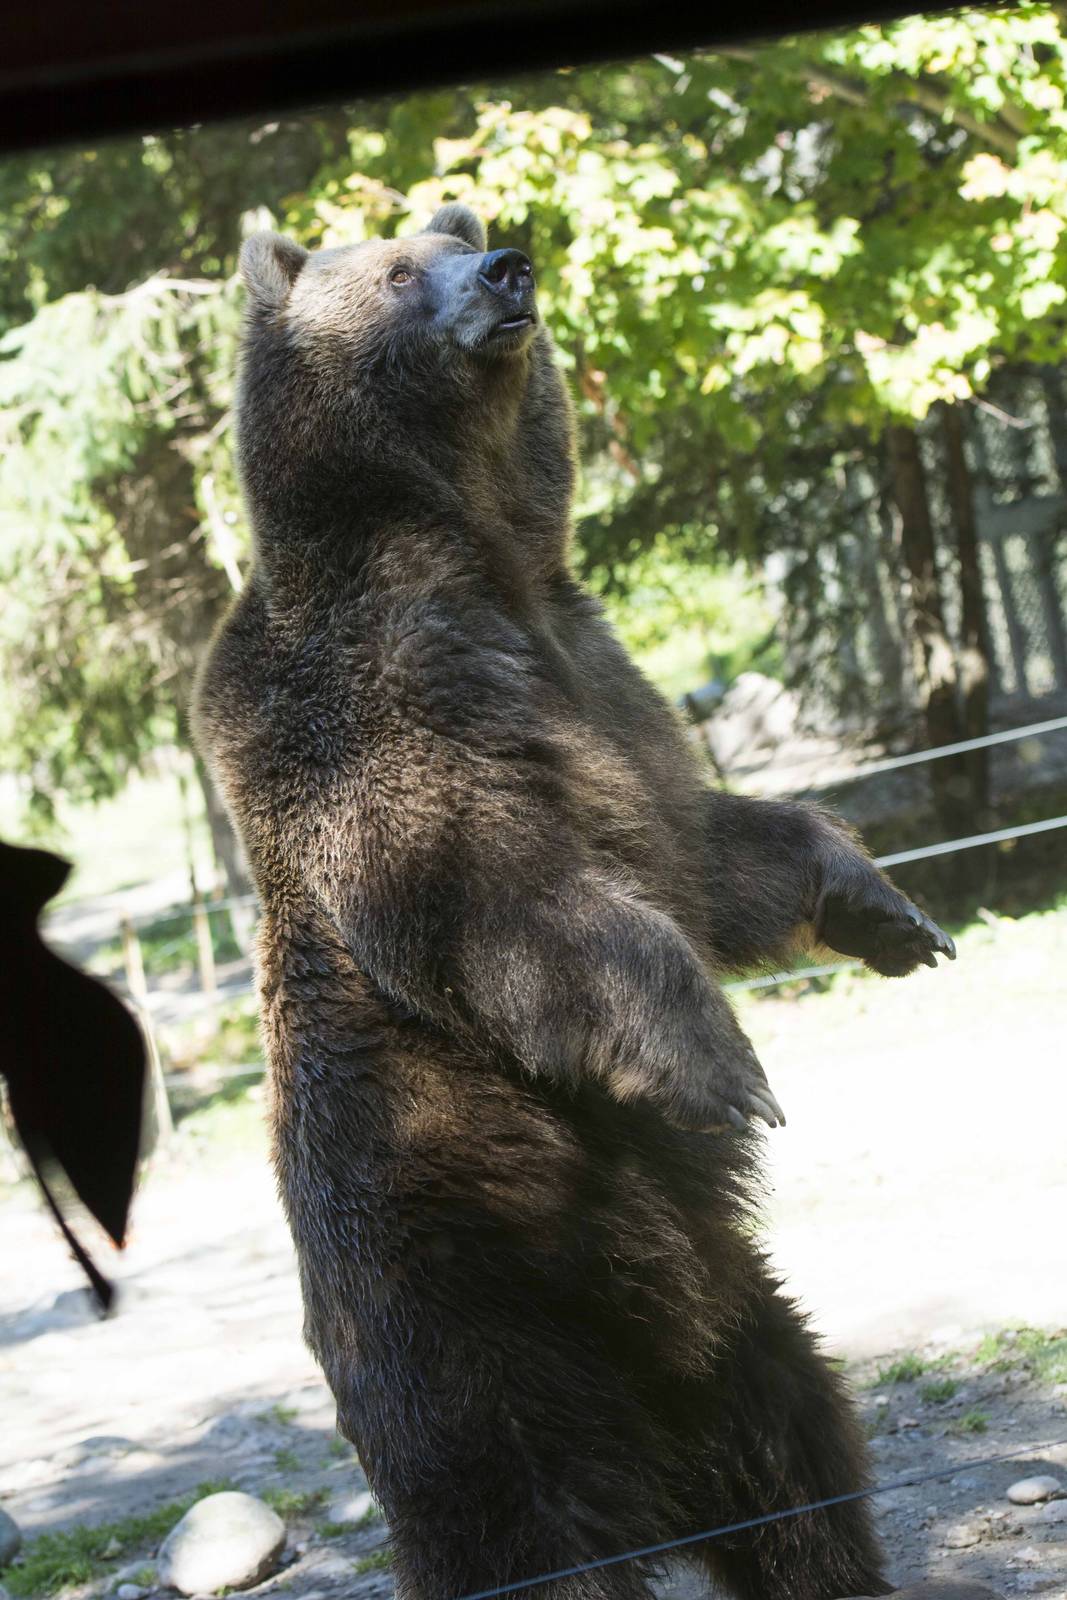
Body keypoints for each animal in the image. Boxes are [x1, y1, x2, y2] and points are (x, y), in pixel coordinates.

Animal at [194, 201, 955, 1600]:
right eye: (398, 268)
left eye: (461, 221)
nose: (508, 266)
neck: (472, 549)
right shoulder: (380, 708)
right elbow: (512, 888)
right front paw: (727, 1068)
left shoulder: (598, 677)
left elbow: (707, 845)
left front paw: (890, 913)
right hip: (472, 1299)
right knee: (521, 1524)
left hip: (732, 1318)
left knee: (801, 1444)